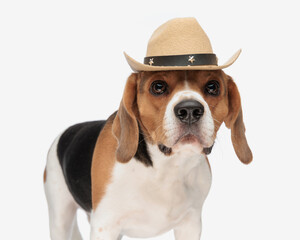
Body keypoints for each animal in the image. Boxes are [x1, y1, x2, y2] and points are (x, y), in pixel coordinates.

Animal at [43, 70, 252, 240]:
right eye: (158, 86)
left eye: (213, 86)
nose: (190, 110)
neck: (166, 167)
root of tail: (63, 133)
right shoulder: (105, 226)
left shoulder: (190, 224)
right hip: (60, 216)